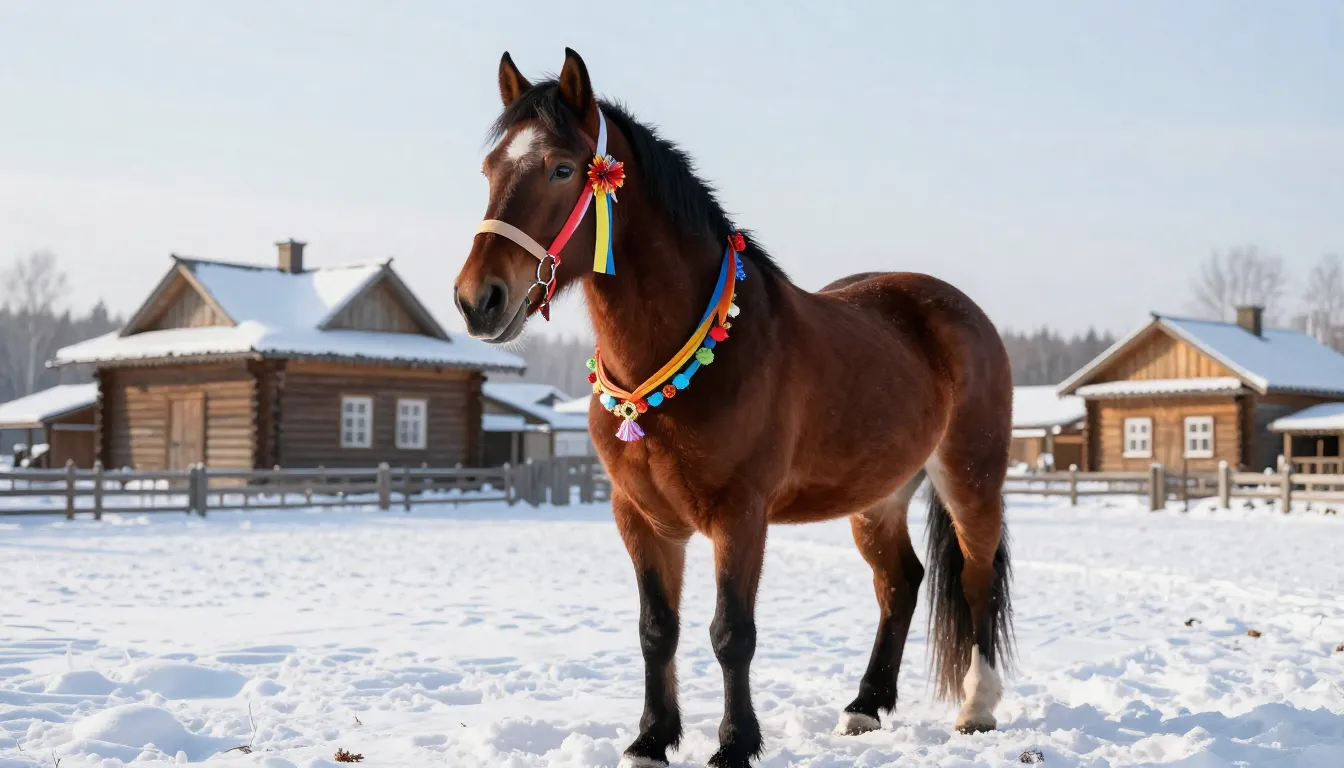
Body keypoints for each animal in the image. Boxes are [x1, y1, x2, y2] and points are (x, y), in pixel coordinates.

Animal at [454, 48, 1014, 768]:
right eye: (490, 169)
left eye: (559, 167)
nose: (478, 299)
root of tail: (958, 311)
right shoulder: (640, 518)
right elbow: (656, 628)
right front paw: (651, 738)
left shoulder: (740, 515)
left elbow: (731, 633)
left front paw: (735, 743)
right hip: (878, 495)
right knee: (901, 582)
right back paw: (865, 706)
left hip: (971, 479)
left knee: (975, 580)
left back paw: (977, 707)